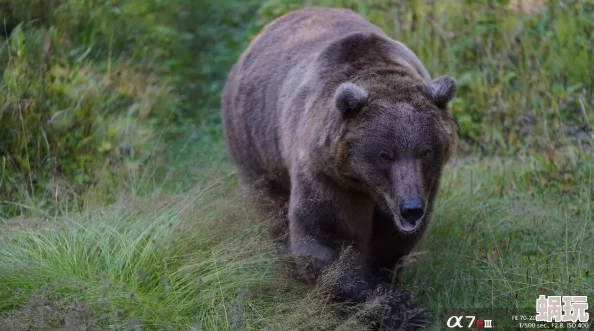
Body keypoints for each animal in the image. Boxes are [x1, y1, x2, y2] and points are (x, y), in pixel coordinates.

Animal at [222, 5, 458, 331]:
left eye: (425, 151)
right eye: (384, 155)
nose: (411, 208)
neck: (367, 186)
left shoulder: (425, 184)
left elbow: (392, 242)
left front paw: (391, 285)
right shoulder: (326, 175)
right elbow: (328, 240)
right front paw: (399, 309)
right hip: (255, 142)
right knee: (271, 207)